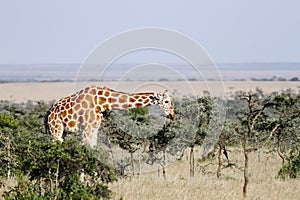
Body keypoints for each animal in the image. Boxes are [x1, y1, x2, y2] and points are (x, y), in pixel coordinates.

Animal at [45, 85, 176, 145]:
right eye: (166, 101)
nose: (172, 115)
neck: (102, 102)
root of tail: (48, 113)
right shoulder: (86, 128)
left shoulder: (95, 128)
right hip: (55, 130)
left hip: (64, 132)